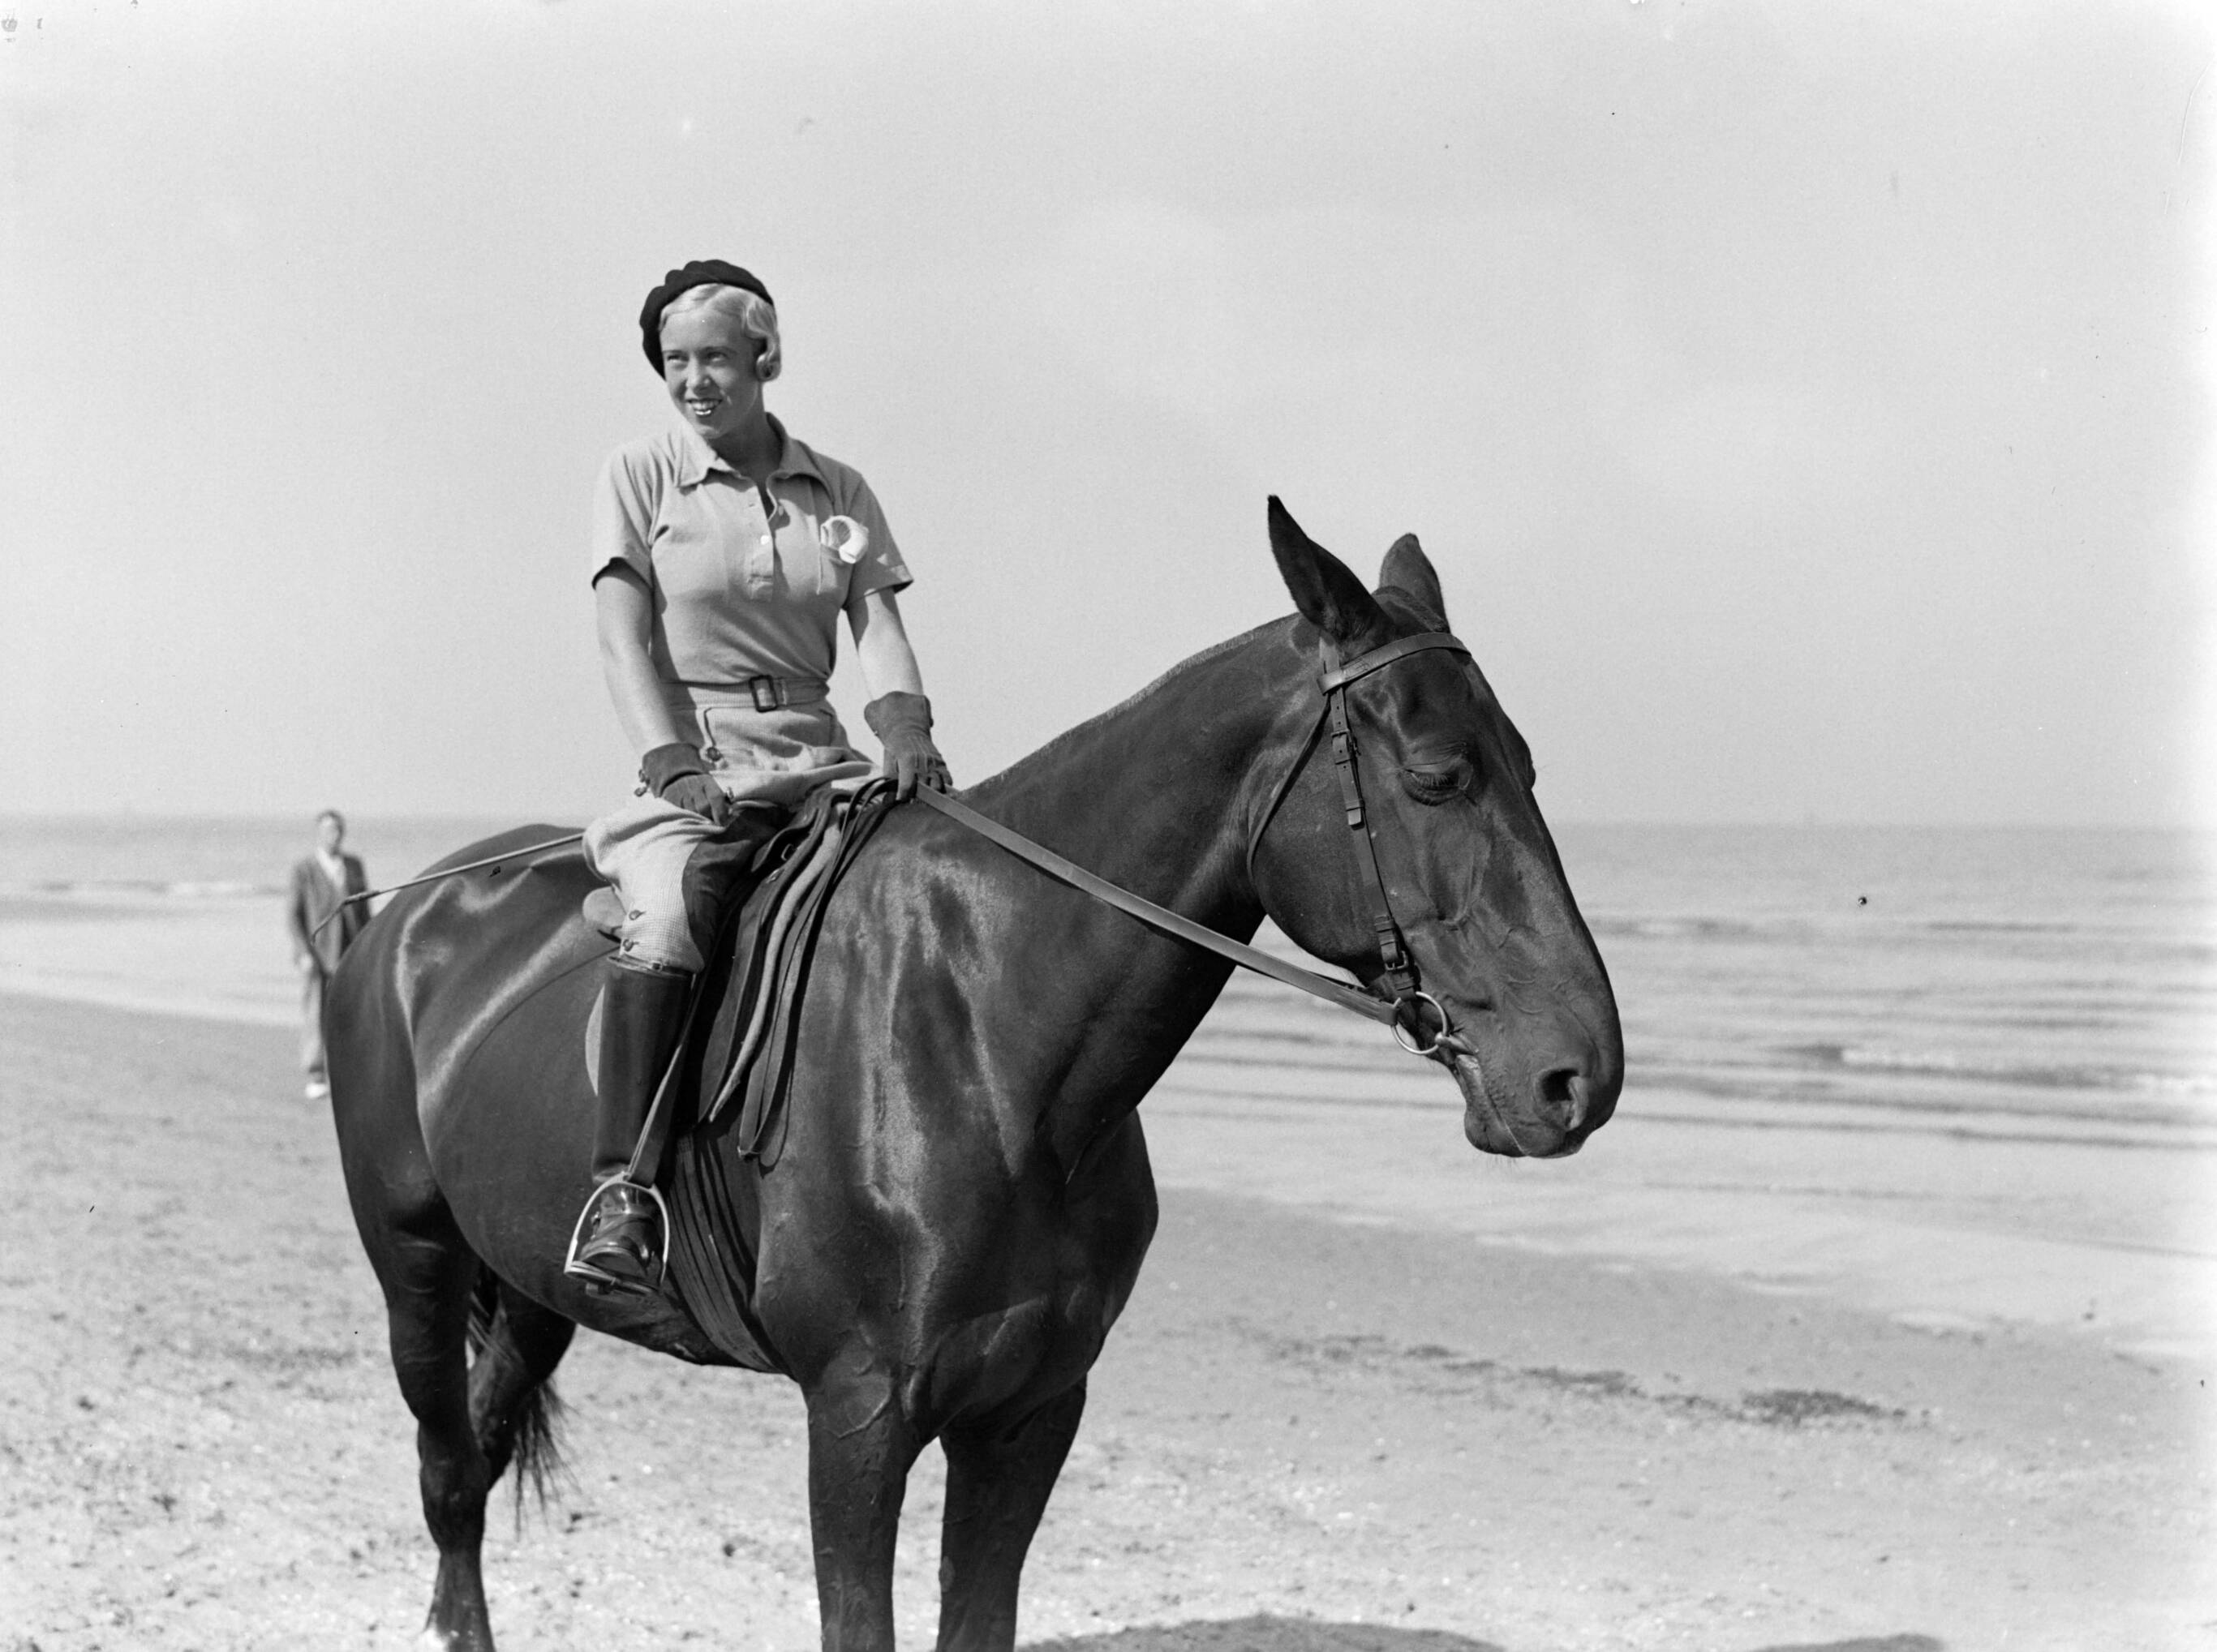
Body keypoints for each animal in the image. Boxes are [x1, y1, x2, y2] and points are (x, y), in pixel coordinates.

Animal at [327, 499, 1624, 1652]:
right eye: (1440, 776)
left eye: (1527, 765)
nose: (1580, 1078)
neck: (987, 1038)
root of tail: (403, 922)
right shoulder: (858, 1418)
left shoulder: (1029, 1413)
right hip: (417, 1263)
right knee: (448, 1473)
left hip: (532, 1286)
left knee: (481, 1450)